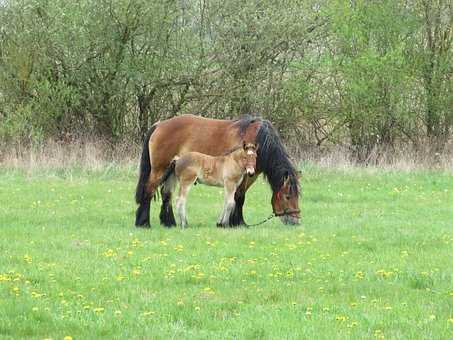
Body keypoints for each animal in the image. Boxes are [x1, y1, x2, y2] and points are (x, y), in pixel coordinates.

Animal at [135, 114, 300, 228]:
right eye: (287, 196)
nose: (296, 221)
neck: (258, 138)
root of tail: (159, 125)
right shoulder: (241, 177)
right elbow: (238, 198)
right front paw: (236, 223)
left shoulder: (248, 176)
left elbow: (235, 198)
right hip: (160, 170)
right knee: (149, 191)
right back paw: (143, 223)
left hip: (171, 173)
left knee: (167, 194)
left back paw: (169, 223)